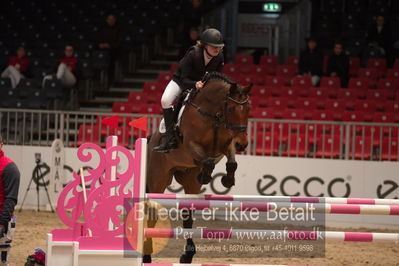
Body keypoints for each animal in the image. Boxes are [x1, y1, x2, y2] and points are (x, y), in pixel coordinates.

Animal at [145, 71, 253, 262]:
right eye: (231, 109)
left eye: (248, 109)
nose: (243, 144)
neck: (212, 113)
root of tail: (151, 140)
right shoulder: (191, 145)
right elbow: (208, 161)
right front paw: (205, 175)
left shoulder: (226, 144)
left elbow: (232, 162)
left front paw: (226, 180)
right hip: (158, 179)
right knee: (152, 214)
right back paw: (147, 256)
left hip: (189, 182)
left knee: (187, 216)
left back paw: (187, 255)